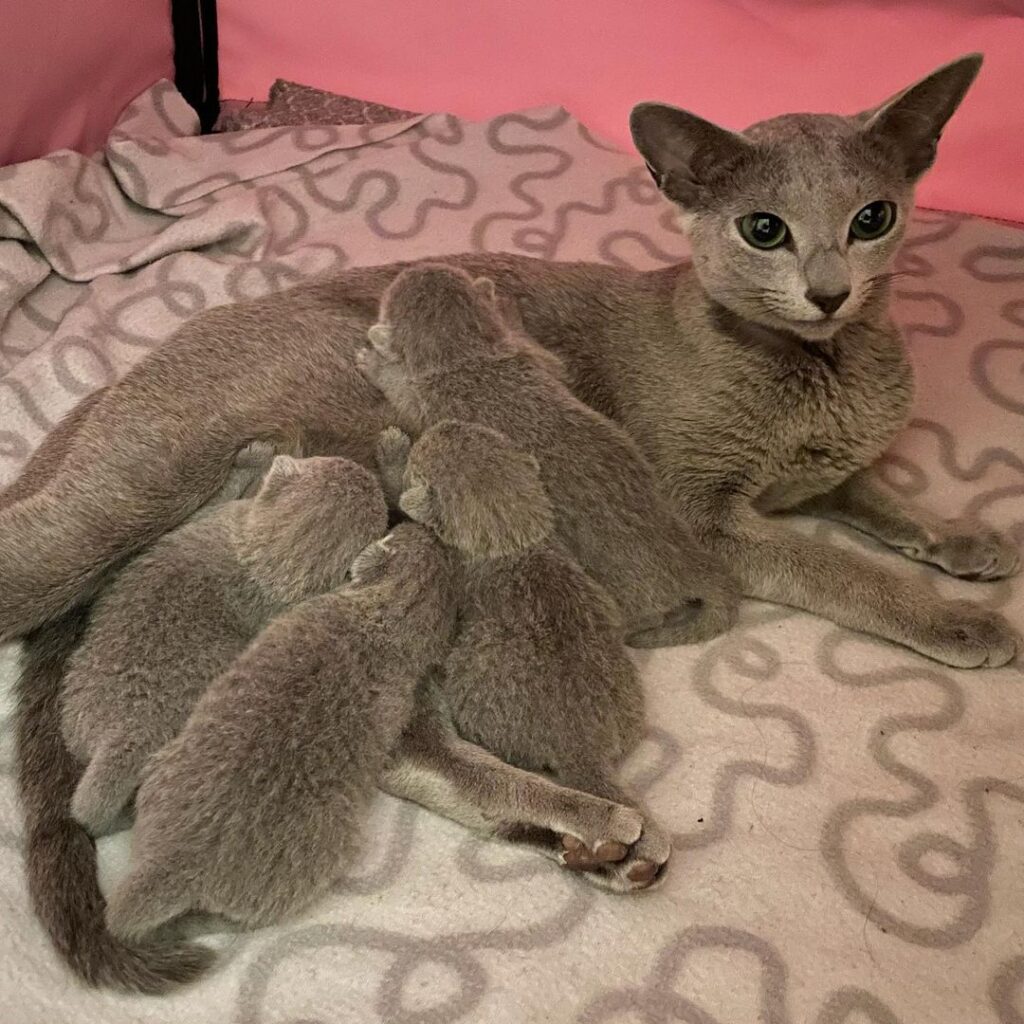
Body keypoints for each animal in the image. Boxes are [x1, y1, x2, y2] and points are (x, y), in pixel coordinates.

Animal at [358, 264, 737, 647]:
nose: (421, 265)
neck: (466, 357)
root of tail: (690, 560)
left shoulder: (420, 397)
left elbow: (398, 389)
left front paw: (374, 361)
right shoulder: (534, 358)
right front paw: (506, 309)